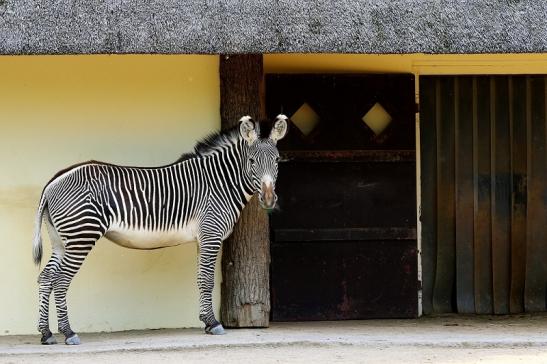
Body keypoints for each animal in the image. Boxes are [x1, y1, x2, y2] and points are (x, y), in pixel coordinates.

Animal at [33, 115, 292, 346]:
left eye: (277, 160)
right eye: (252, 161)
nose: (269, 199)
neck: (220, 182)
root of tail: (53, 182)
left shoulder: (203, 238)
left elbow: (201, 278)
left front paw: (206, 322)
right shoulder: (211, 234)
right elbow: (207, 280)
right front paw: (214, 324)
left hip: (61, 241)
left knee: (46, 278)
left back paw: (46, 334)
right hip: (81, 236)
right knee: (61, 281)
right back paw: (68, 333)